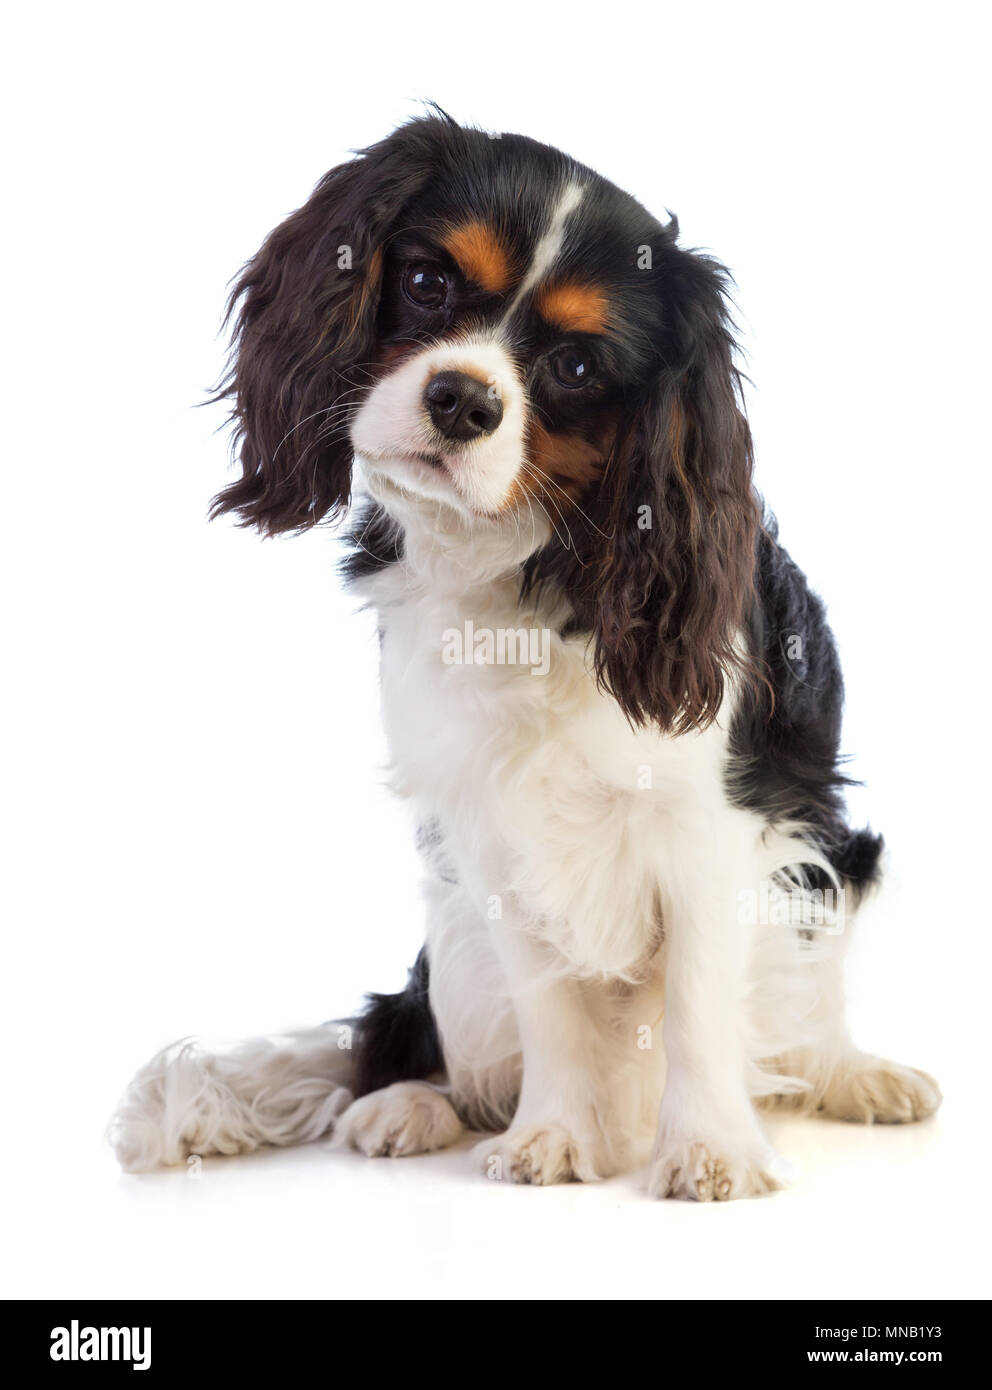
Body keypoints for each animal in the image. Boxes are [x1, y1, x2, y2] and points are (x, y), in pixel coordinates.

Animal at [108, 113, 933, 1200]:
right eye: (425, 283)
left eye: (577, 368)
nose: (463, 399)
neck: (526, 568)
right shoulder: (489, 826)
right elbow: (548, 1008)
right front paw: (554, 1134)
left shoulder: (712, 827)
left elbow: (700, 1004)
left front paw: (708, 1149)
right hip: (451, 943)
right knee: (421, 1045)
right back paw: (409, 1105)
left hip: (826, 879)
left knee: (807, 1022)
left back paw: (856, 1075)